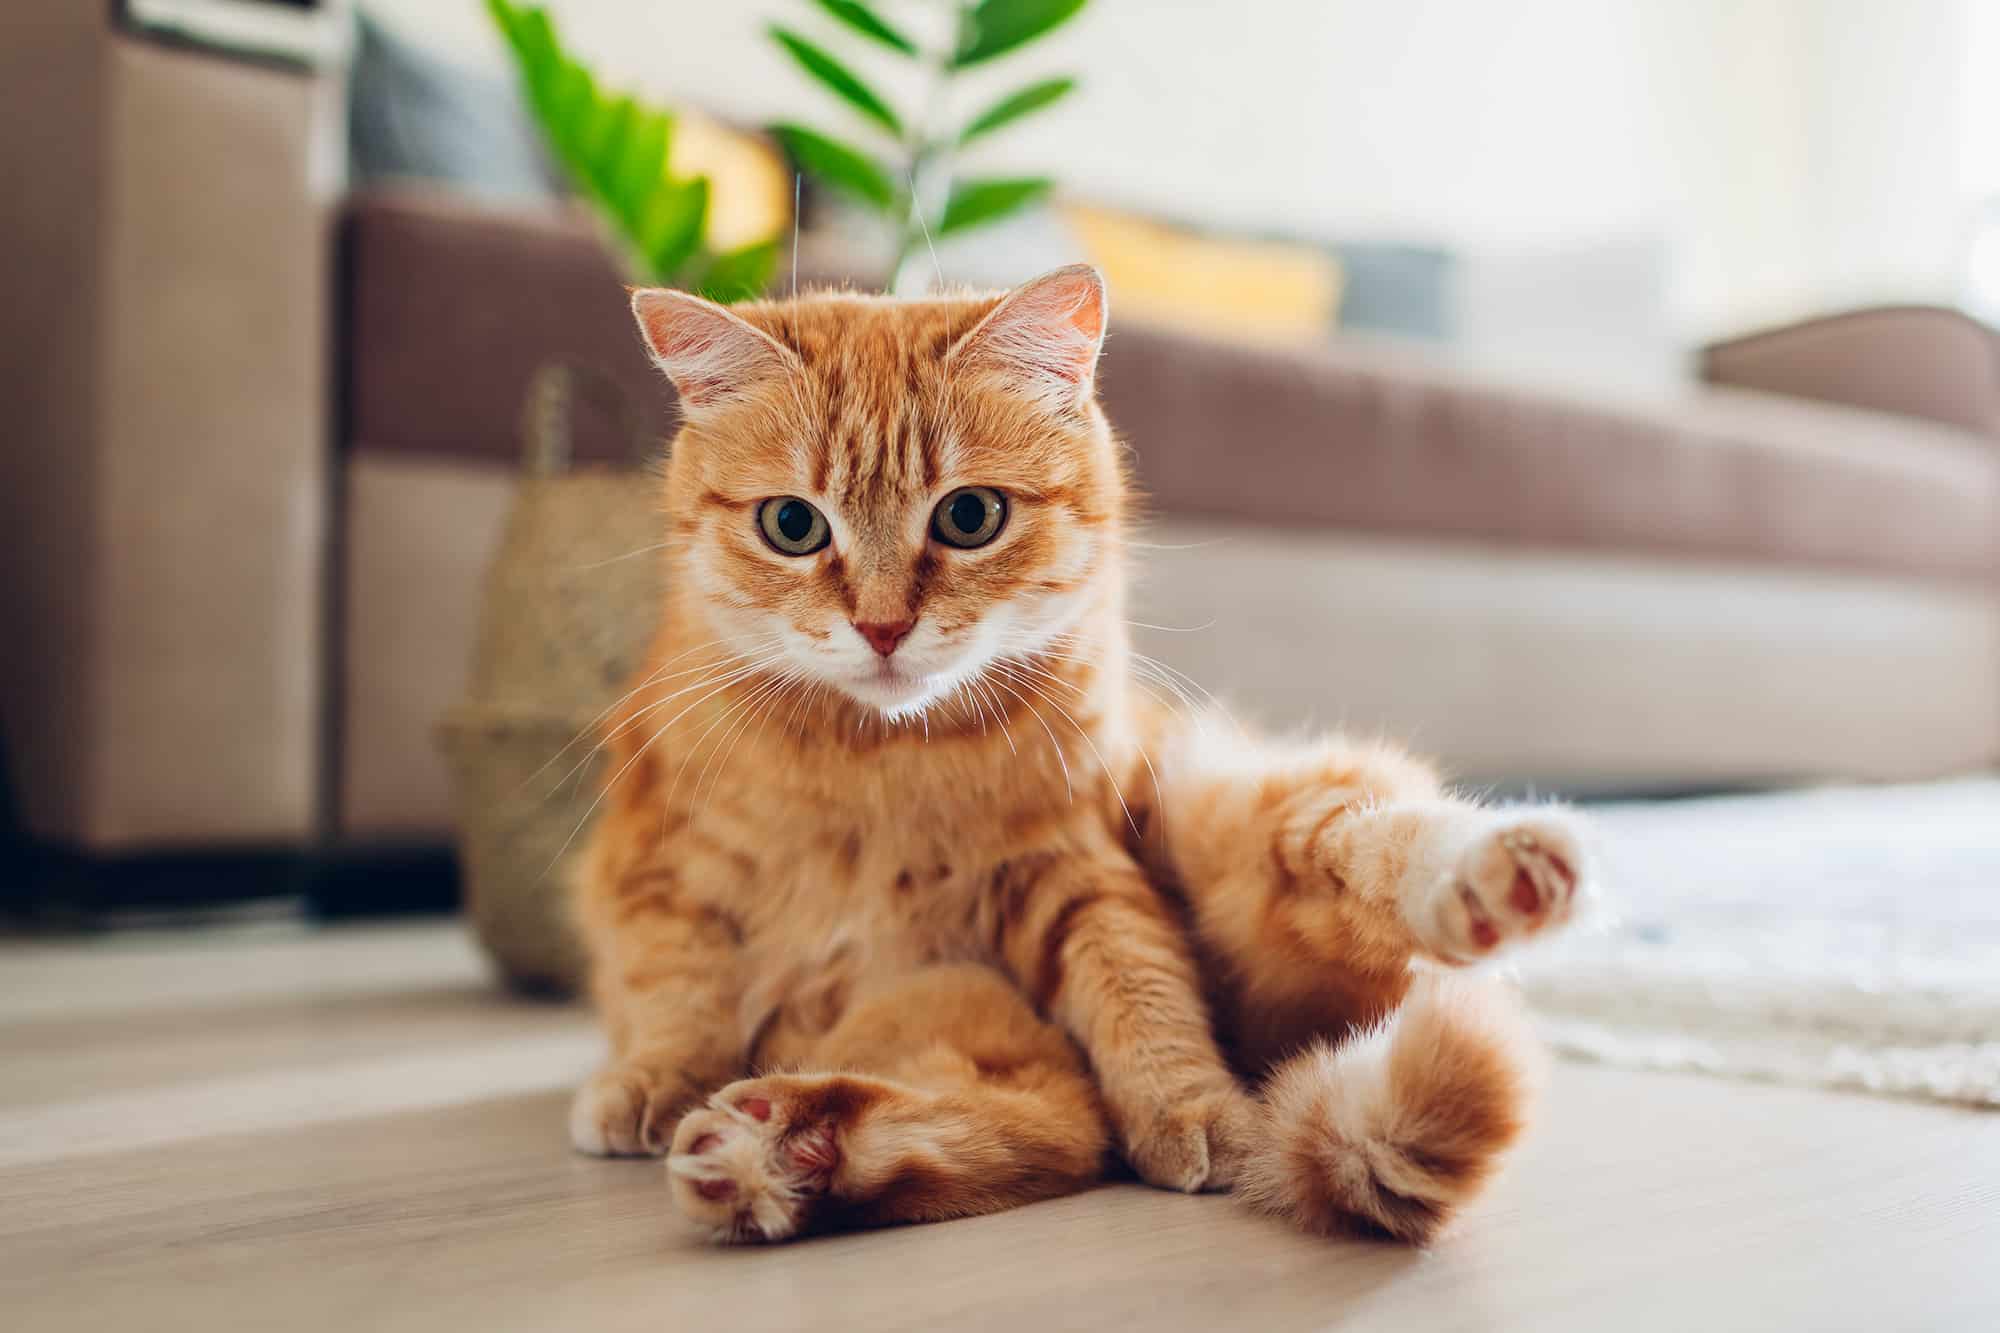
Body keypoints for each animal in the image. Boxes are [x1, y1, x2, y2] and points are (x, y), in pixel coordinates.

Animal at [568, 268, 1592, 1248]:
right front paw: (653, 1078)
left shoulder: (1075, 867)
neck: (881, 760)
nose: (883, 626)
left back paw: (1496, 876)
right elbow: (677, 985)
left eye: (969, 516)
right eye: (792, 525)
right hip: (952, 1009)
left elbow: (1138, 983)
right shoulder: (658, 867)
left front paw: (1190, 1102)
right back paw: (777, 1153)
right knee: (1034, 1127)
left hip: (1214, 821)